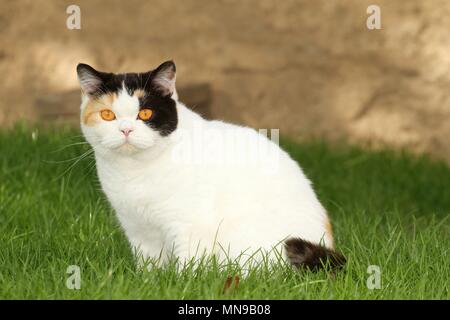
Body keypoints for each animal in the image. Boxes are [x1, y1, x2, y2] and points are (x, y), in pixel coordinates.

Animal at [76, 60, 344, 270]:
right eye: (108, 115)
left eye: (145, 114)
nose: (126, 130)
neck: (135, 172)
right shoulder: (137, 229)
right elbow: (149, 267)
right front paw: (149, 283)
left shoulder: (190, 226)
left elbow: (188, 266)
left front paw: (181, 283)